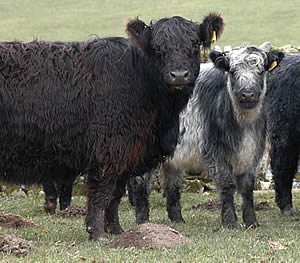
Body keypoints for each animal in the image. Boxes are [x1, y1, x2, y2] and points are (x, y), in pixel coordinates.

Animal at [0, 13, 224, 241]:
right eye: (156, 46)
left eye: (195, 44)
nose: (178, 75)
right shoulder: (108, 151)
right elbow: (102, 193)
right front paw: (98, 233)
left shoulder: (127, 154)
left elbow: (115, 196)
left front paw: (117, 231)